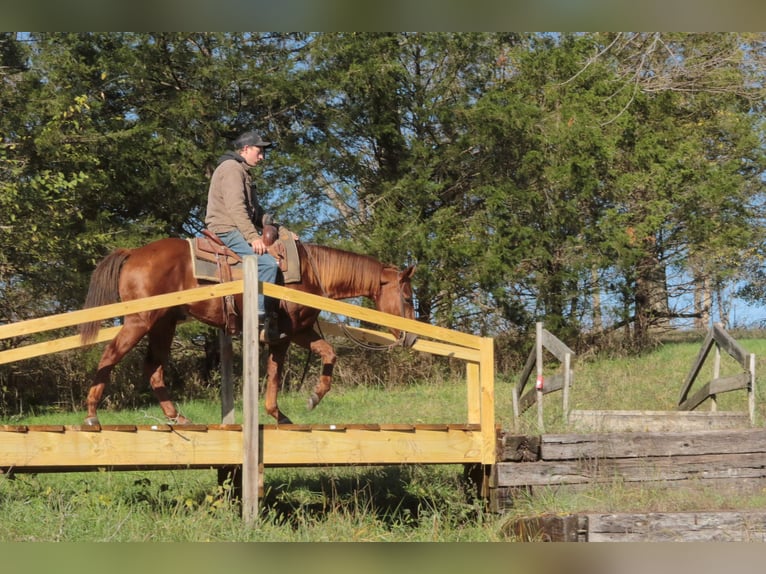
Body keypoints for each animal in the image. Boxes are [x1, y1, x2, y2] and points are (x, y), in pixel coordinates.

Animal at [78, 237, 417, 425]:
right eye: (407, 297)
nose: (411, 337)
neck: (311, 271)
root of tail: (134, 253)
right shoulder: (284, 335)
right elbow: (277, 375)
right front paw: (286, 410)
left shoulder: (300, 333)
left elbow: (328, 354)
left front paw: (310, 399)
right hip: (139, 320)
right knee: (109, 356)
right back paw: (92, 413)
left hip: (163, 323)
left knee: (153, 368)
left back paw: (178, 416)